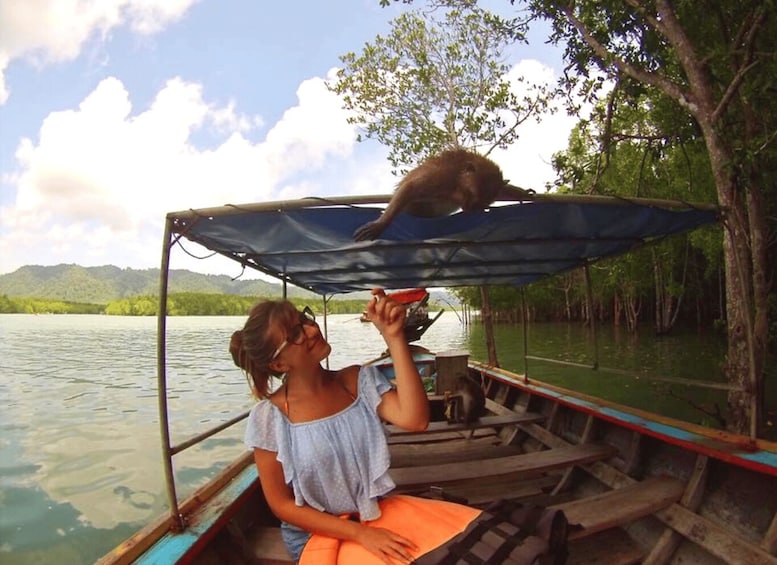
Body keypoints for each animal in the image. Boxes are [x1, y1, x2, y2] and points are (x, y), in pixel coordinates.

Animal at [350, 148, 528, 240]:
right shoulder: (442, 176)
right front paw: (381, 223)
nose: (472, 208)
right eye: (473, 195)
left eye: (482, 203)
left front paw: (522, 192)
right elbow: (410, 187)